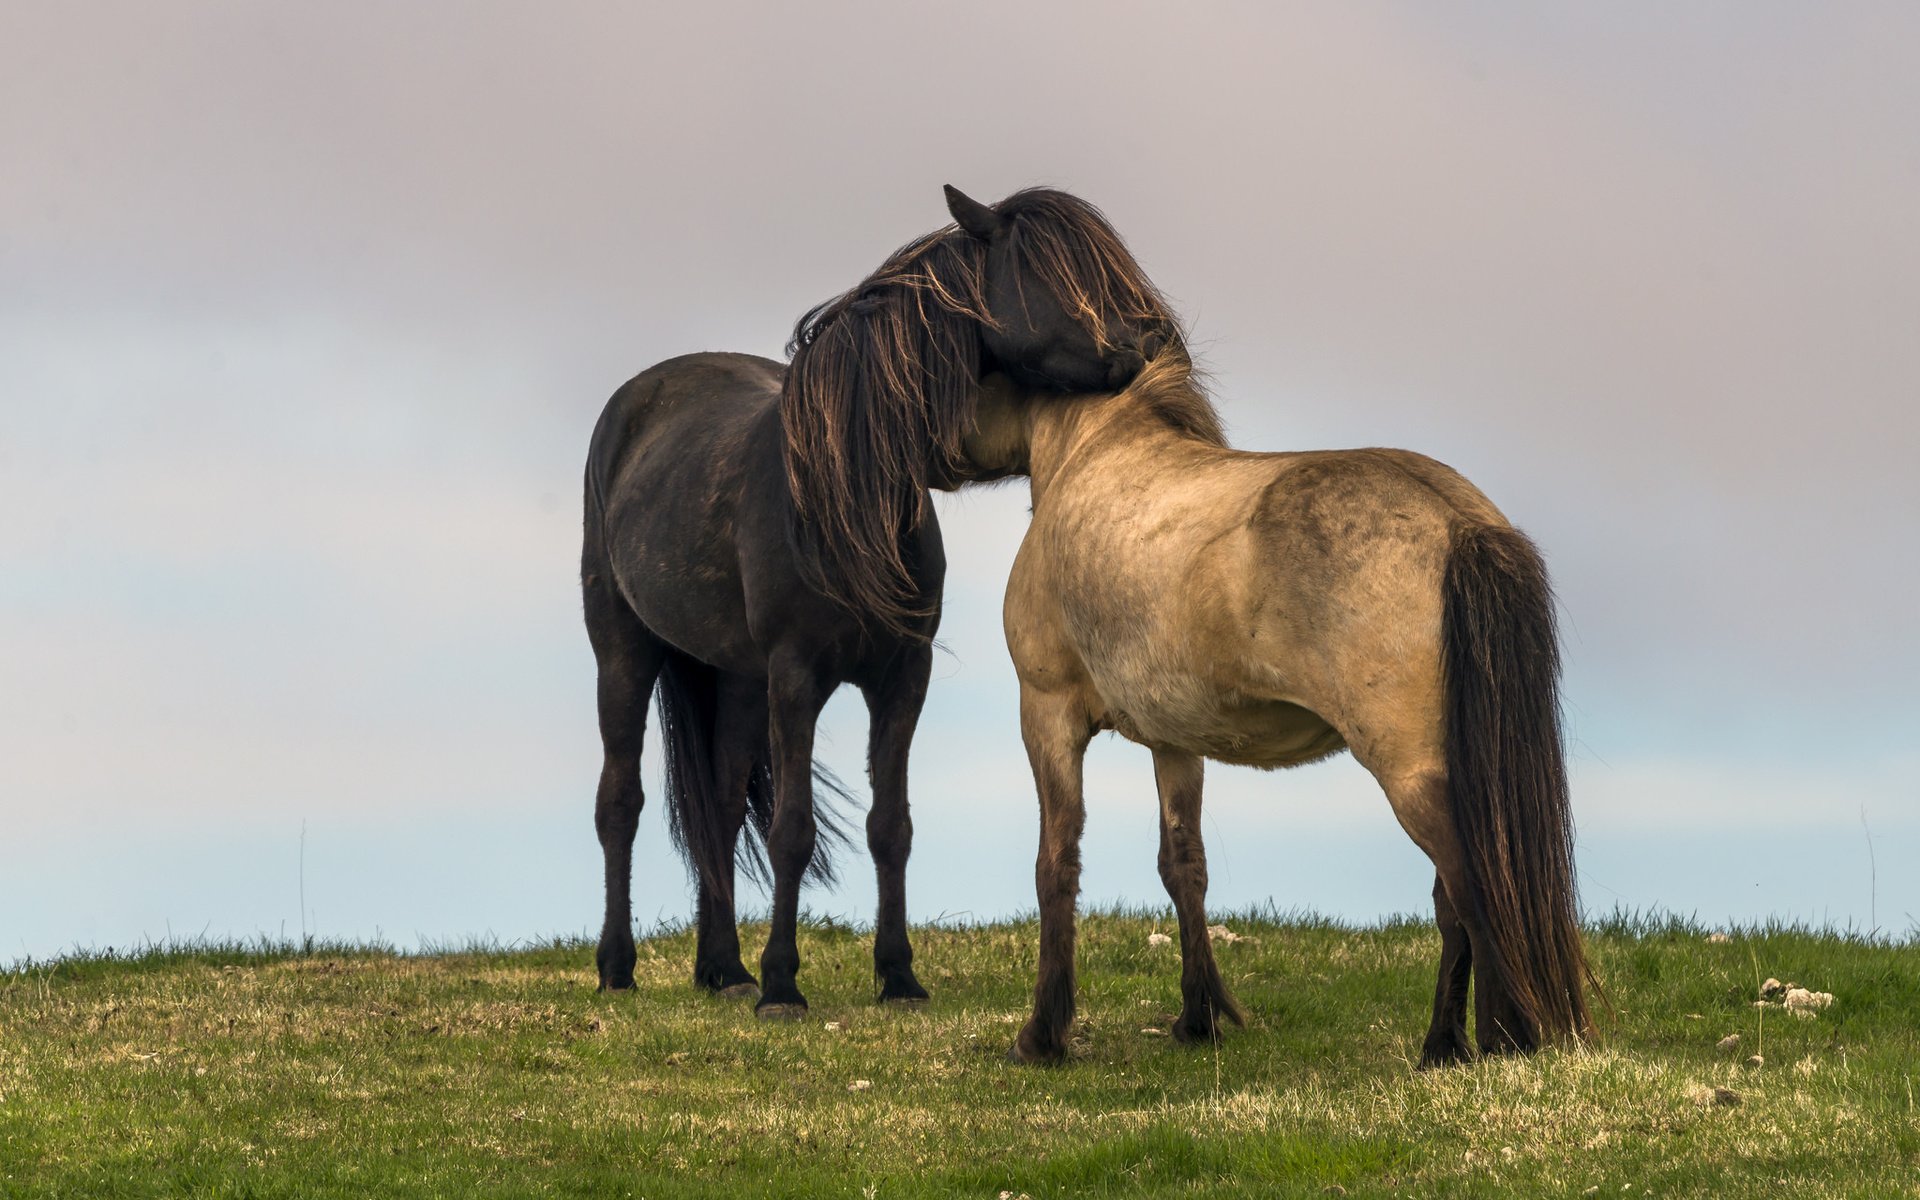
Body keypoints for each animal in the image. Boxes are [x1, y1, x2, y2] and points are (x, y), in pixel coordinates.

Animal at [576, 187, 1175, 1013]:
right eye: (1047, 270)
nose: (1154, 340)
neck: (843, 494)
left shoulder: (901, 674)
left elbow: (891, 825)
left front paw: (897, 975)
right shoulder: (796, 676)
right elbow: (792, 829)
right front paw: (783, 986)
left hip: (734, 677)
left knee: (719, 809)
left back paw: (722, 968)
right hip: (625, 652)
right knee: (620, 802)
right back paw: (619, 966)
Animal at [960, 351, 1605, 1059]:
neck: (1094, 455)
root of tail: (1459, 522)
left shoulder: (1046, 713)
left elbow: (1056, 862)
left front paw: (1042, 1035)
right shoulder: (1173, 739)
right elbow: (1182, 865)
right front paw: (1198, 1018)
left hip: (1411, 773)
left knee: (1471, 888)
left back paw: (1495, 1039)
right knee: (1450, 901)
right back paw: (1442, 1044)